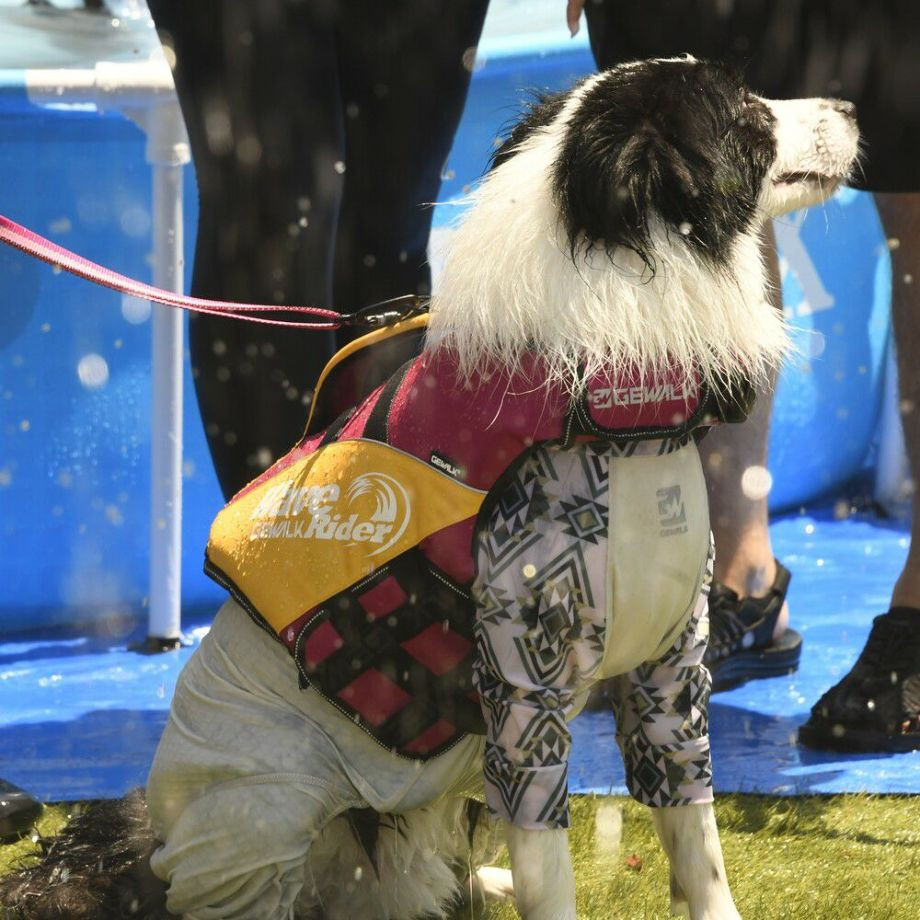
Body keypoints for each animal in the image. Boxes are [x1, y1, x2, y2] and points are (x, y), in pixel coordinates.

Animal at [3, 57, 860, 920]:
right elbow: (552, 860)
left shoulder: (671, 664)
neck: (616, 410)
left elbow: (696, 838)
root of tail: (153, 845)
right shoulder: (523, 677)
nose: (853, 107)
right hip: (256, 813)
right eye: (750, 114)